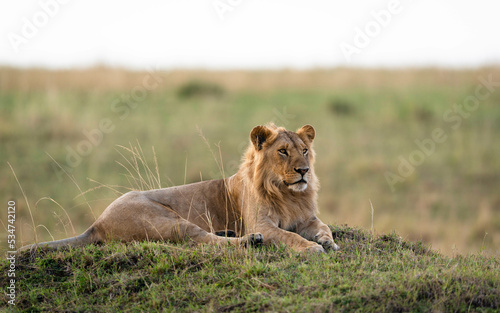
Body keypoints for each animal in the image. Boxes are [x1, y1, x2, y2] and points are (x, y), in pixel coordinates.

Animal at [20, 123, 340, 252]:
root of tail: (96, 223)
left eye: (305, 151)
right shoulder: (261, 222)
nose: (304, 171)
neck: (287, 194)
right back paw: (250, 241)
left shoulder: (307, 217)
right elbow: (289, 236)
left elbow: (324, 226)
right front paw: (311, 248)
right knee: (201, 240)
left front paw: (327, 241)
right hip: (168, 221)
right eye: (283, 152)